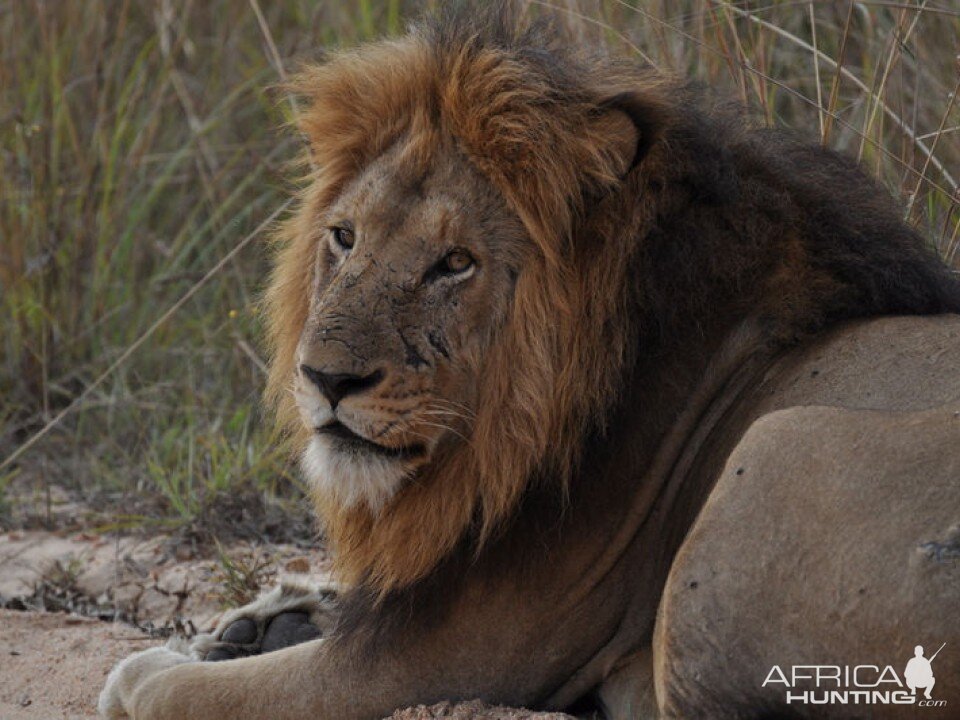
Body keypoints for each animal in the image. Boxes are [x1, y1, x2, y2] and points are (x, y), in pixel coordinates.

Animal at [97, 2, 960, 716]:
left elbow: (169, 687)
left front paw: (170, 665)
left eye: (454, 264)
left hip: (771, 456)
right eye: (343, 237)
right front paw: (258, 620)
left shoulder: (430, 662)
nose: (325, 378)